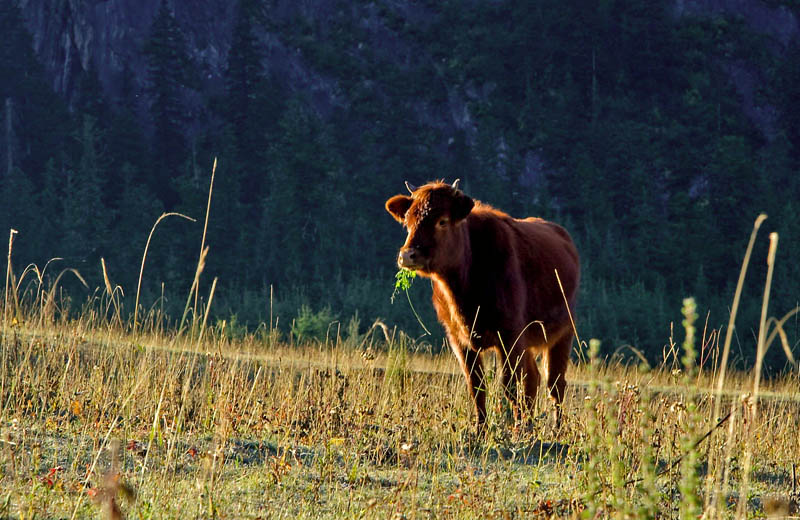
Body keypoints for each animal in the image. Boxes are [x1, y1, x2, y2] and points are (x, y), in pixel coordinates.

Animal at [384, 181, 580, 432]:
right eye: (407, 221)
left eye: (442, 221)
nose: (408, 255)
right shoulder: (459, 339)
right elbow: (476, 386)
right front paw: (480, 430)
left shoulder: (510, 336)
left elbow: (510, 385)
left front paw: (516, 430)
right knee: (533, 379)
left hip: (563, 333)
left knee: (555, 383)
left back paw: (555, 429)